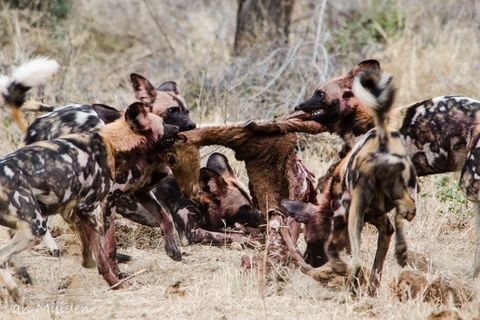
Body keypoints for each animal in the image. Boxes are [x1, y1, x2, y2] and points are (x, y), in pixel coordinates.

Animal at [0, 101, 176, 304]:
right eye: (163, 123)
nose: (180, 127)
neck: (113, 143)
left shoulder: (78, 209)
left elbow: (88, 246)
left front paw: (87, 262)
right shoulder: (91, 207)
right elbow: (104, 255)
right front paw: (116, 283)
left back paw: (19, 285)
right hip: (35, 229)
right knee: (2, 257)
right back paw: (17, 291)